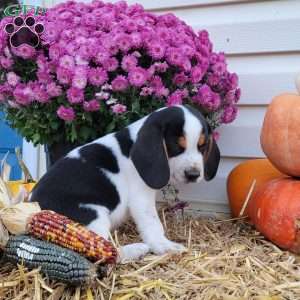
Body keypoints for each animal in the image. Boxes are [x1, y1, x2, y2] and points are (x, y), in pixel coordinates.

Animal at [30, 104, 220, 258]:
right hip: (92, 214)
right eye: (176, 146)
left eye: (202, 146)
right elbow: (153, 223)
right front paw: (164, 246)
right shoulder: (141, 198)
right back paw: (136, 250)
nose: (193, 174)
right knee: (105, 252)